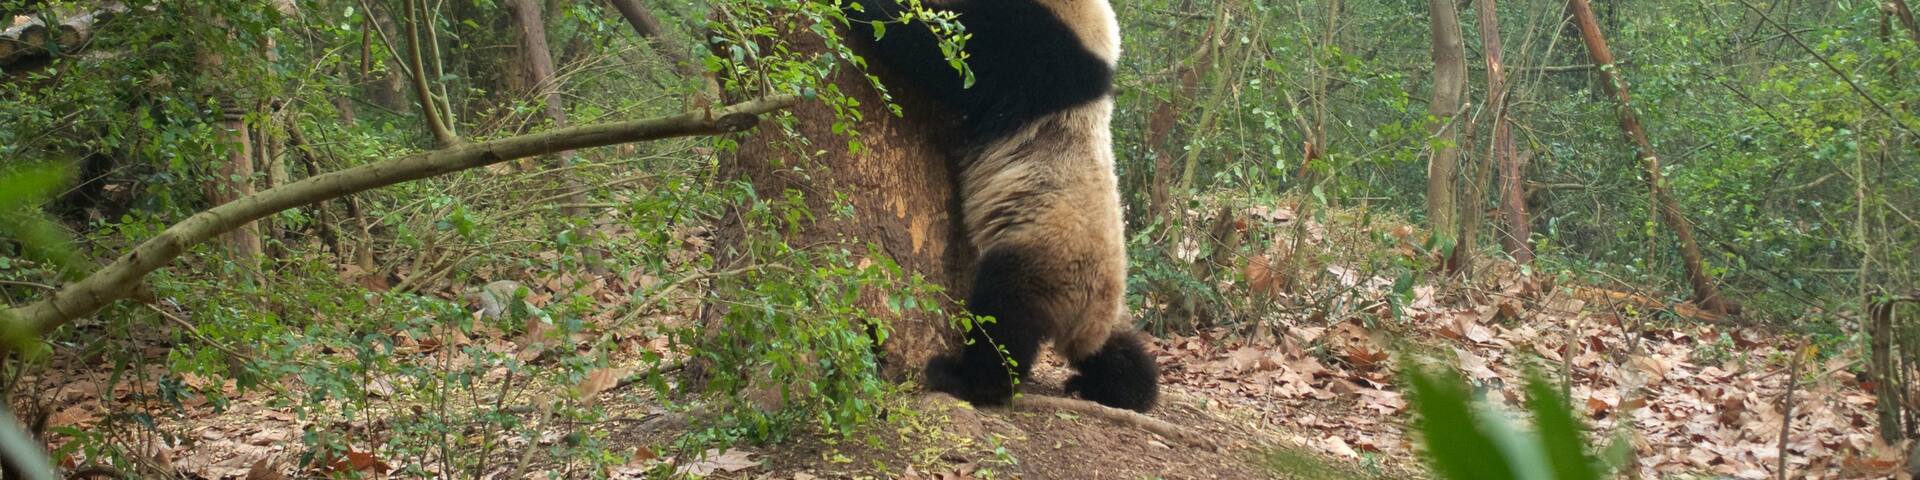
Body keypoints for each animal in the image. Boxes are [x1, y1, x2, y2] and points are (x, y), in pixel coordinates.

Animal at [842, 0, 1158, 412]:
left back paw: (963, 379)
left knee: (1003, 321)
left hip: (1040, 260)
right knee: (1120, 355)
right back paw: (1115, 388)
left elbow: (942, 53)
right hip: (1108, 309)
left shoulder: (1032, 51)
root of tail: (1088, 315)